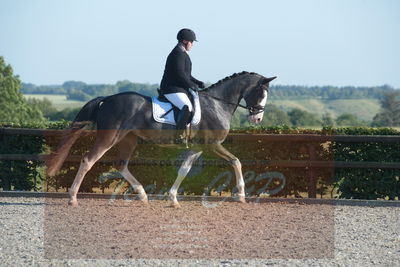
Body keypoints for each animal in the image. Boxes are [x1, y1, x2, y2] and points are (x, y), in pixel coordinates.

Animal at [47, 71, 276, 209]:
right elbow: (236, 161)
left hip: (129, 139)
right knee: (88, 160)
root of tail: (106, 99)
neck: (217, 104)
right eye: (261, 94)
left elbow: (184, 169)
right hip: (109, 137)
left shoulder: (198, 148)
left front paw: (172, 198)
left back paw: (142, 195)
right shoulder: (213, 145)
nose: (257, 118)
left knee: (120, 164)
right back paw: (73, 197)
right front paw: (241, 194)